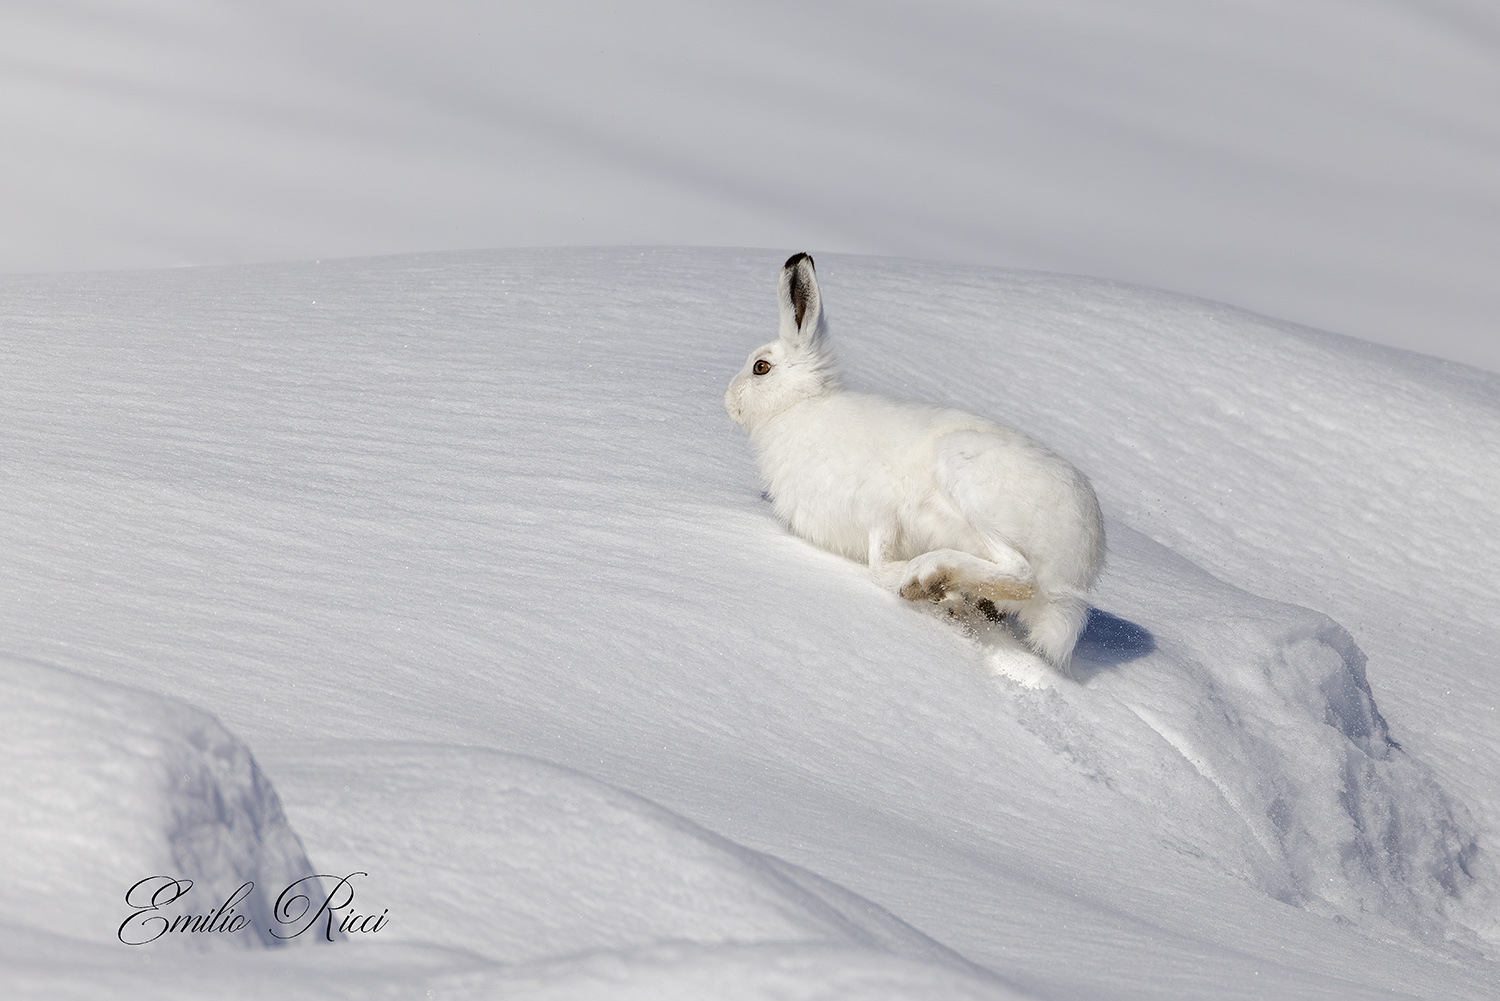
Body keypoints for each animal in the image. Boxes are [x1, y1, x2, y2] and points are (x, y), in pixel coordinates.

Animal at [724, 253, 1105, 672]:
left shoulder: (878, 510)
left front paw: (911, 579)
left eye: (761, 367)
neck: (798, 408)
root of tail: (1078, 567)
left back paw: (927, 577)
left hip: (965, 473)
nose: (728, 401)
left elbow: (878, 565)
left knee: (1021, 575)